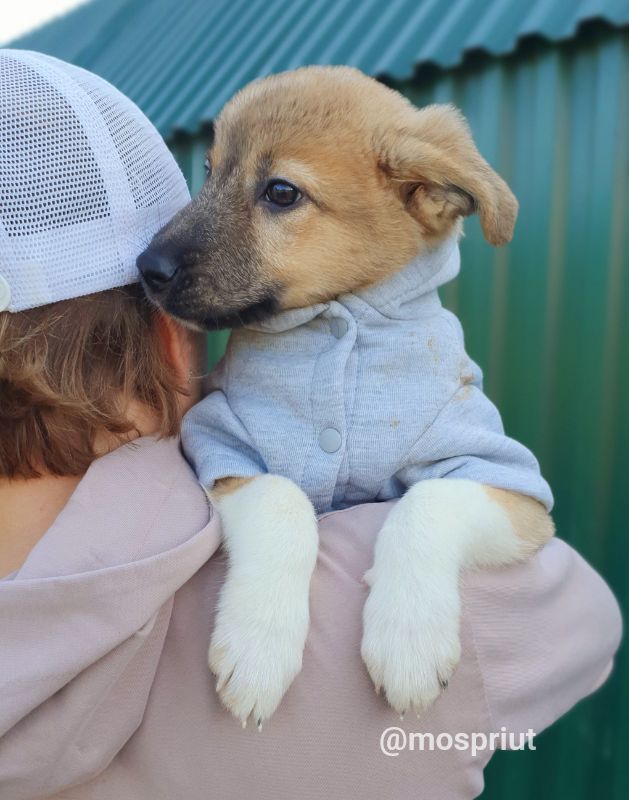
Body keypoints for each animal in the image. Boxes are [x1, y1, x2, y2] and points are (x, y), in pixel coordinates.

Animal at [139, 67, 556, 724]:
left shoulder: (512, 487)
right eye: (209, 171)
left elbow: (428, 501)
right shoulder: (222, 443)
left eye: (281, 192)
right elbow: (283, 498)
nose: (145, 268)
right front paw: (259, 647)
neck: (346, 321)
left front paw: (410, 641)